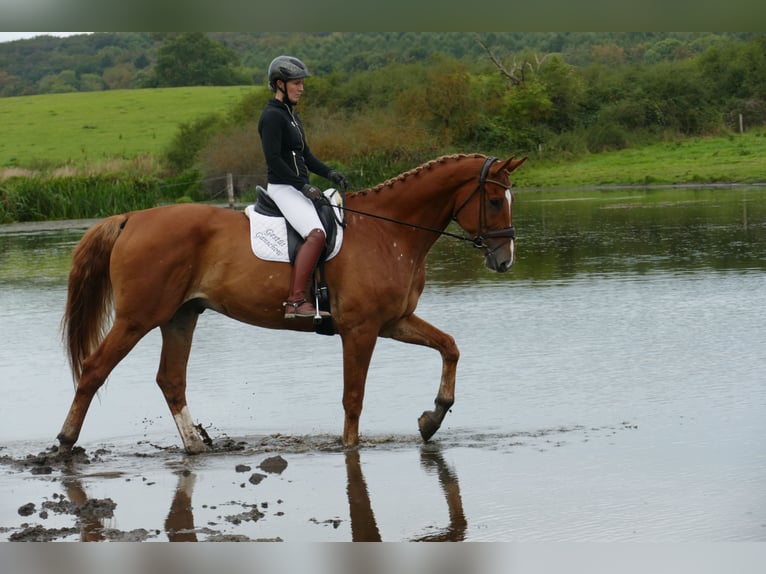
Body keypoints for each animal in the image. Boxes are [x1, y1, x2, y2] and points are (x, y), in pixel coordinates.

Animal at [57, 153, 526, 454]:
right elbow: (353, 396)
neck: (389, 231)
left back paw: (195, 446)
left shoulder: (395, 321)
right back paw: (64, 441)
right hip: (138, 318)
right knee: (95, 370)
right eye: (493, 200)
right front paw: (350, 446)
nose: (504, 260)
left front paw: (433, 418)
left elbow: (450, 346)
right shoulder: (361, 329)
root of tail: (131, 218)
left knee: (171, 380)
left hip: (180, 317)